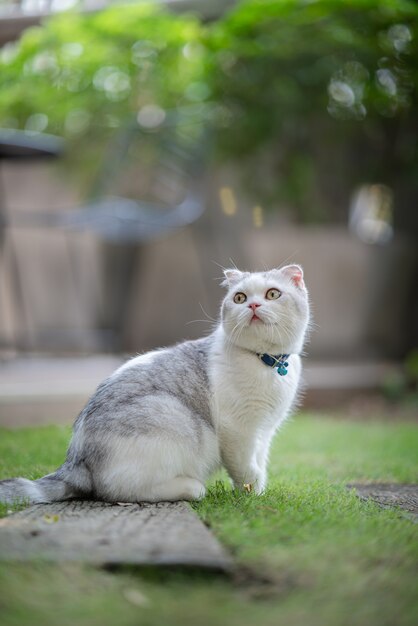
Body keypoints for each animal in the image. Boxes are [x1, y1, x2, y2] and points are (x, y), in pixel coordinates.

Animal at [0, 264, 310, 502]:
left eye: (272, 294)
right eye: (240, 297)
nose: (254, 305)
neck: (268, 362)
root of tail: (74, 460)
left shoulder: (264, 430)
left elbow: (260, 462)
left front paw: (259, 491)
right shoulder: (238, 430)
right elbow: (245, 468)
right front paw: (251, 495)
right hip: (175, 417)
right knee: (116, 491)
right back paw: (192, 487)